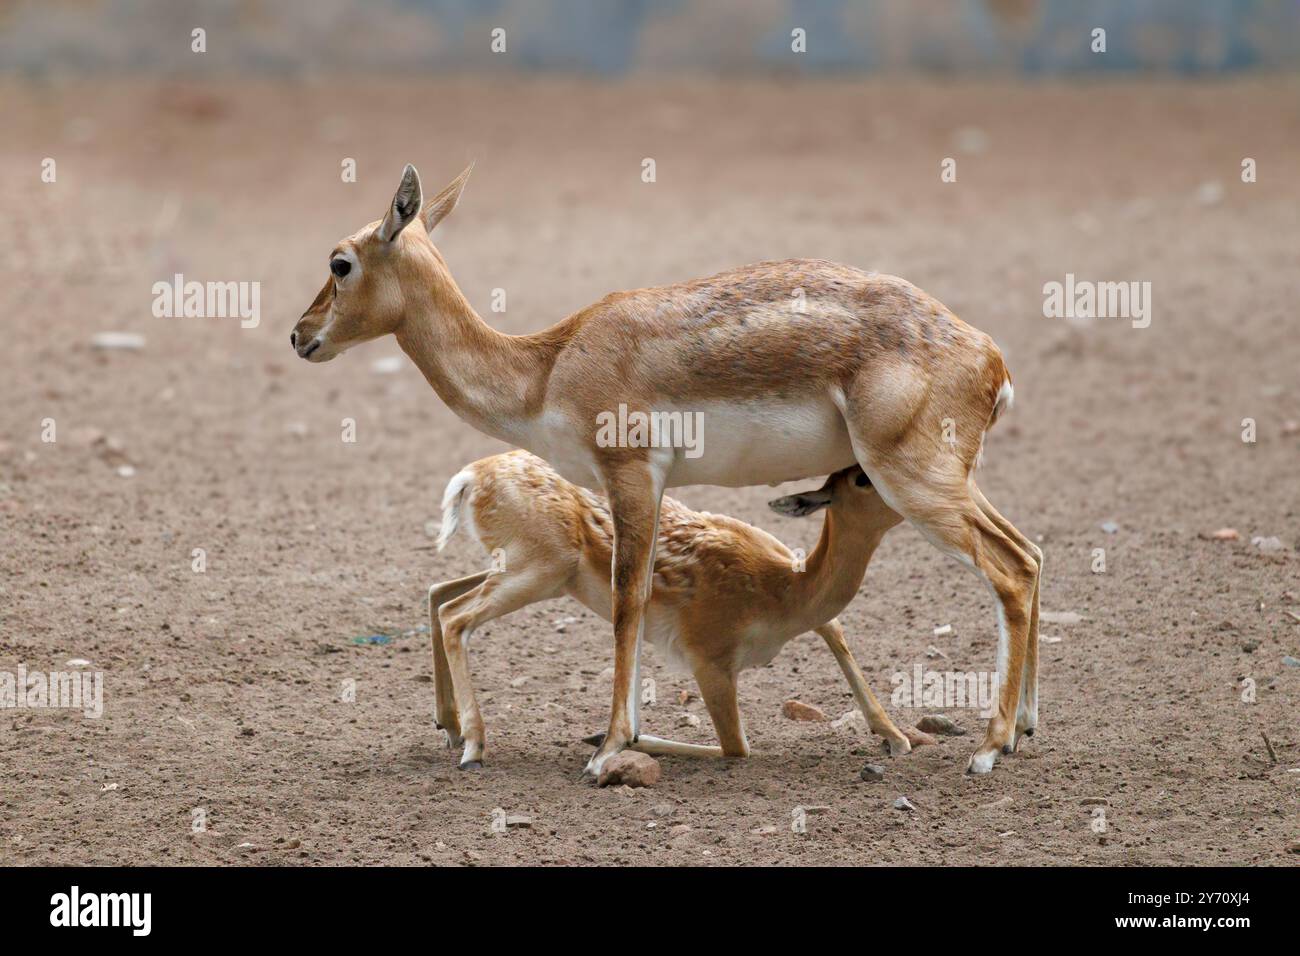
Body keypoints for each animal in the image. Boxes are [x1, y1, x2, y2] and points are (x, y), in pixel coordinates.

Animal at [427, 450, 922, 768]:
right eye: (861, 479)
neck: (783, 589)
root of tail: (469, 478)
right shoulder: (708, 659)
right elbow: (736, 747)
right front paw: (613, 741)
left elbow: (837, 631)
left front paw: (897, 738)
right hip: (539, 571)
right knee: (456, 616)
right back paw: (474, 746)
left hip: (530, 573)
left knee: (438, 592)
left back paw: (451, 728)